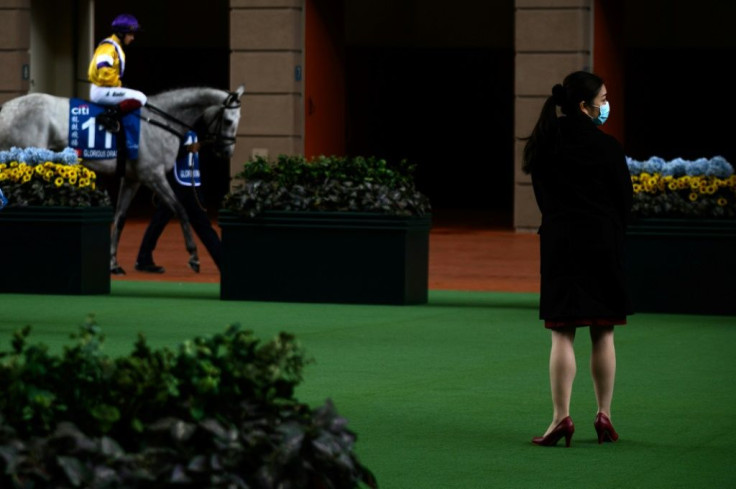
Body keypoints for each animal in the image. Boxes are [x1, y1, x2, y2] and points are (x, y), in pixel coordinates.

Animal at [0, 85, 247, 274]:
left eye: (238, 120)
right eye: (227, 121)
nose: (227, 151)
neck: (159, 121)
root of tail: (6, 108)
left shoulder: (132, 179)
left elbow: (120, 219)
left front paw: (113, 264)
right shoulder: (153, 174)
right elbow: (180, 209)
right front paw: (194, 256)